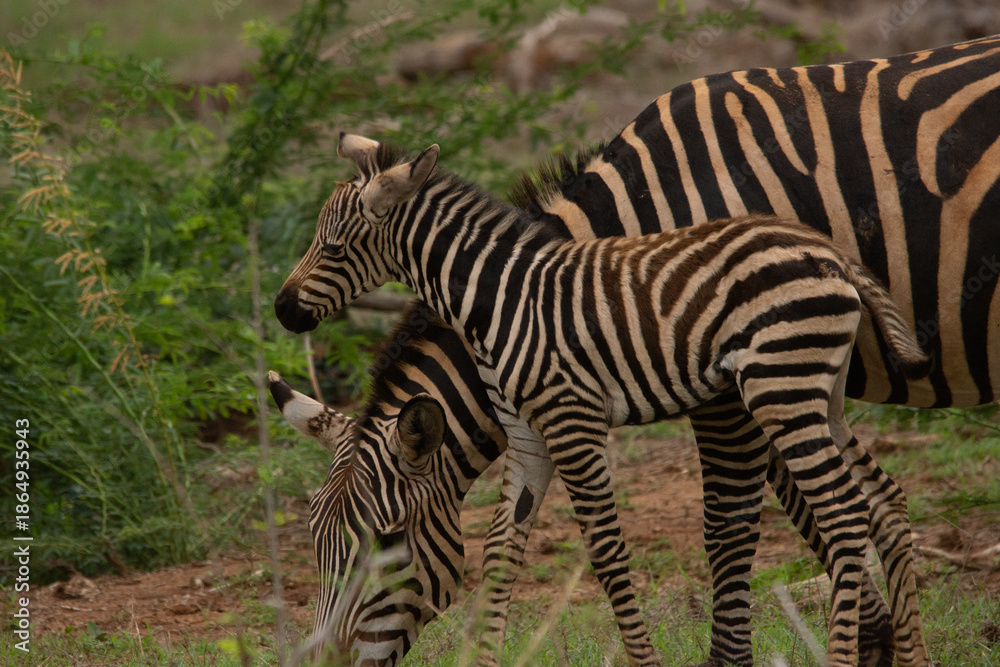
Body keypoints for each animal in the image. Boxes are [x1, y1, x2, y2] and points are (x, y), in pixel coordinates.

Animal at [274, 37, 1000, 666]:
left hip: (781, 387)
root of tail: (833, 259)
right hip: (812, 389)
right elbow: (503, 548)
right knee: (880, 503)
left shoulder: (667, 407)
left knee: (847, 515)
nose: (284, 308)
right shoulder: (533, 431)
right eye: (314, 541)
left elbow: (688, 537)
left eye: (388, 541)